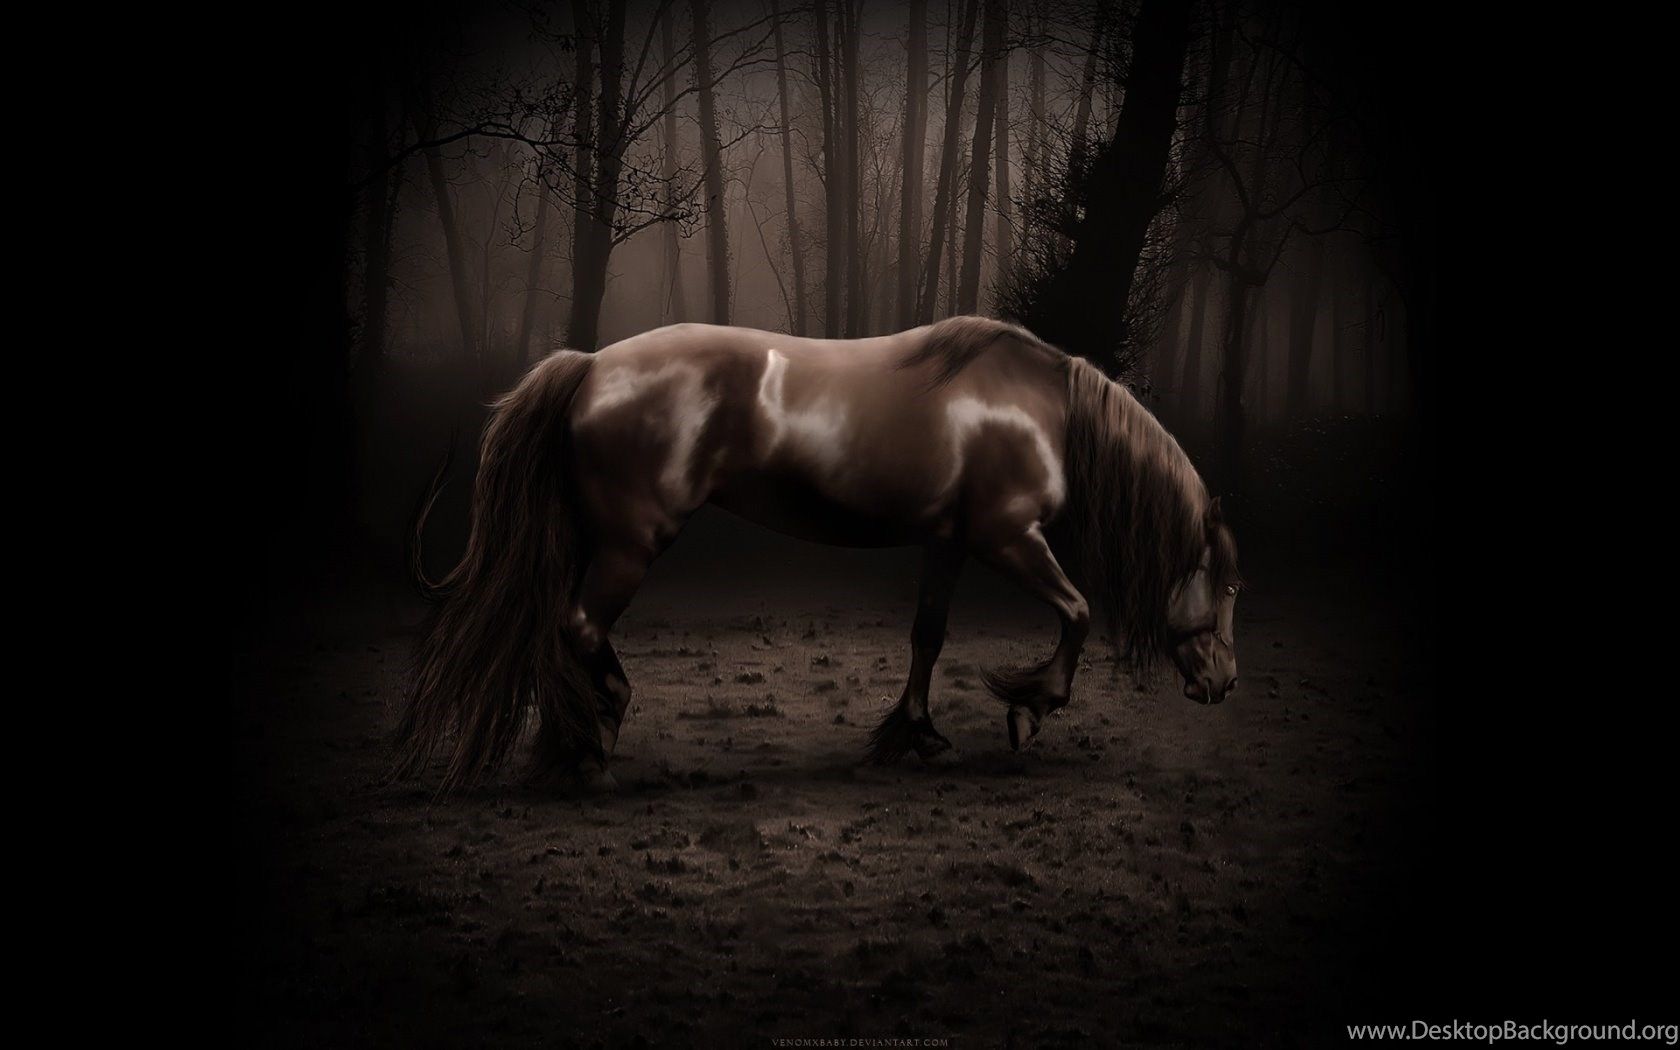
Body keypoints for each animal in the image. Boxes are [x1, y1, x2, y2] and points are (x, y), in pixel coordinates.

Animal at [398, 316, 1241, 794]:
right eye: (1229, 586)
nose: (1224, 683)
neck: (1039, 407)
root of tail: (591, 366)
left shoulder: (950, 542)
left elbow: (928, 638)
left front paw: (916, 736)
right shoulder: (1007, 537)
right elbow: (1077, 611)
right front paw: (1029, 712)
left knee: (559, 628)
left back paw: (573, 742)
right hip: (631, 543)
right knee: (577, 627)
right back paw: (593, 744)